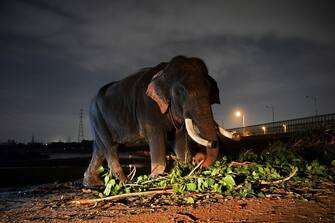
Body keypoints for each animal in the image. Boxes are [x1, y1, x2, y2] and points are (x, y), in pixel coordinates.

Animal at [84, 55, 236, 186]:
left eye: (210, 88)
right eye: (180, 91)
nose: (199, 159)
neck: (164, 70)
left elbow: (179, 138)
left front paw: (185, 169)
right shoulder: (147, 107)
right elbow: (157, 137)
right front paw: (156, 177)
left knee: (99, 149)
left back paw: (92, 183)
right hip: (97, 117)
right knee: (110, 147)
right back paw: (124, 182)